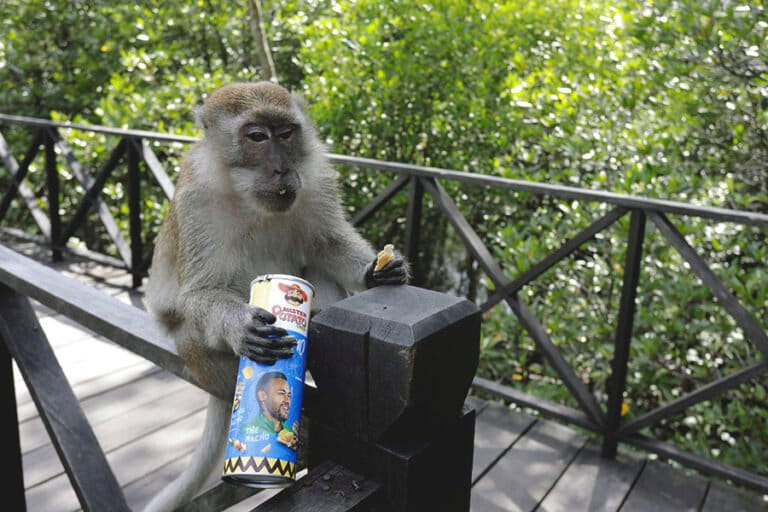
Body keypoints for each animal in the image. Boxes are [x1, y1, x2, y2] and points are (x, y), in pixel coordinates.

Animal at [141, 82, 407, 512]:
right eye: (256, 137)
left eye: (285, 134)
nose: (282, 168)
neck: (246, 196)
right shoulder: (197, 201)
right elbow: (199, 293)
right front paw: (242, 324)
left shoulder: (316, 180)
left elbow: (328, 245)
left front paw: (377, 270)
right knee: (191, 337)